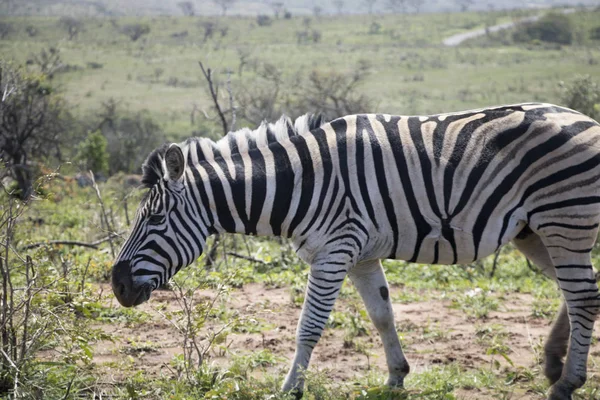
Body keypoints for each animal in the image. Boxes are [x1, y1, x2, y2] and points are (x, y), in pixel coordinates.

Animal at [111, 104, 600, 400]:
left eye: (155, 220)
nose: (116, 286)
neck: (301, 182)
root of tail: (584, 118)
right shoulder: (361, 254)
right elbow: (382, 315)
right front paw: (396, 376)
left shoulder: (333, 250)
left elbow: (308, 326)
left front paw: (290, 388)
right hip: (536, 231)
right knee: (577, 294)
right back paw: (554, 366)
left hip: (565, 219)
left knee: (583, 297)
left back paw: (567, 382)